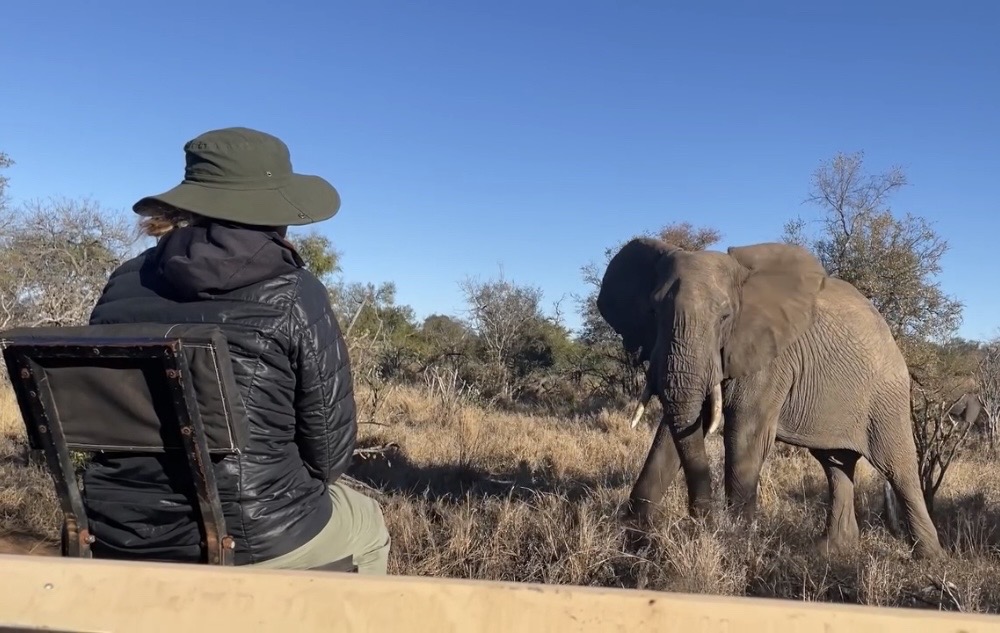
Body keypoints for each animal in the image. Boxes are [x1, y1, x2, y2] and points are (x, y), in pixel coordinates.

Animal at [596, 237, 945, 560]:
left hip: (887, 397)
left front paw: (734, 546)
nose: (700, 519)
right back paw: (831, 552)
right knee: (836, 465)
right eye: (653, 311)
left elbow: (743, 435)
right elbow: (676, 430)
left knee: (898, 469)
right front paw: (633, 535)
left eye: (725, 317)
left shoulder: (770, 358)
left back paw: (930, 560)